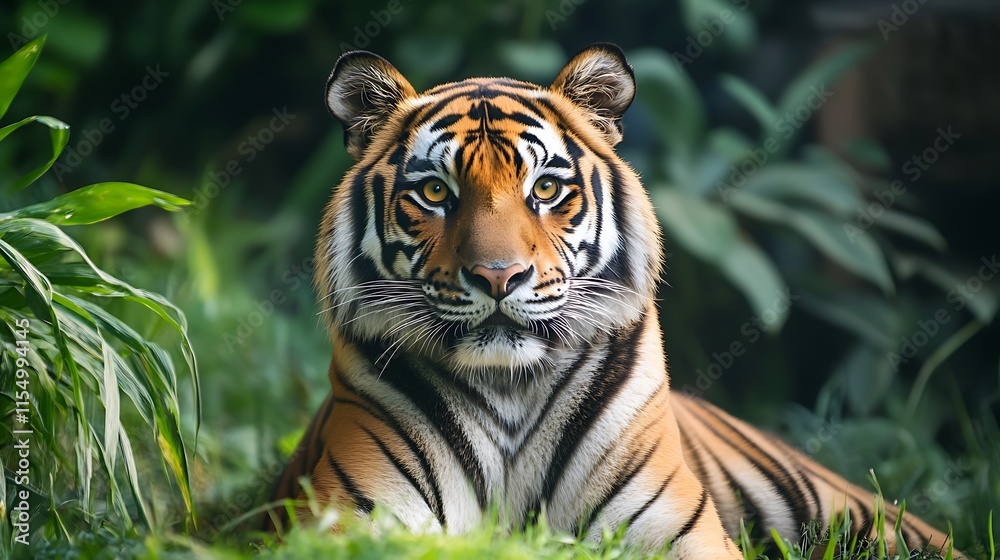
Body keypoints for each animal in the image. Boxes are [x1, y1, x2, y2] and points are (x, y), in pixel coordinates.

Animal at [263, 43, 957, 558]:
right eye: (435, 193)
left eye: (545, 189)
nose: (498, 277)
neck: (508, 387)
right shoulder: (356, 517)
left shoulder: (676, 530)